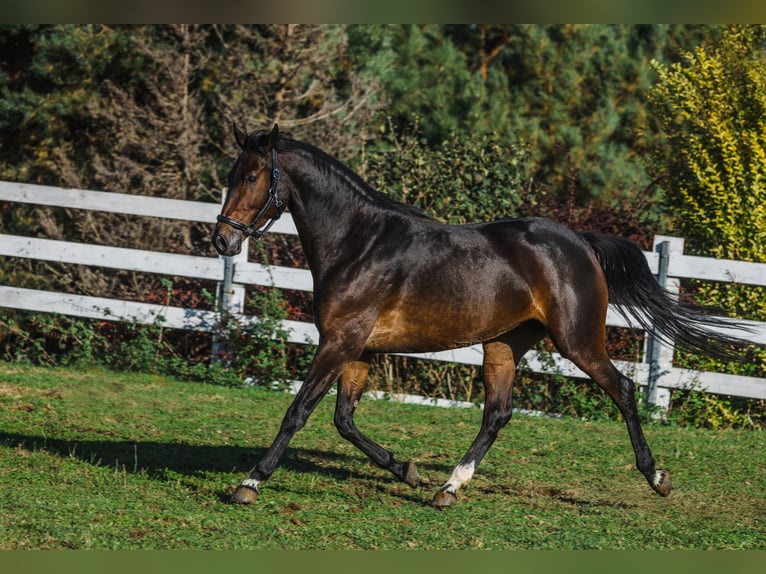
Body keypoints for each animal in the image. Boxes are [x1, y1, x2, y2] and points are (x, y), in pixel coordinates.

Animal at [212, 122, 752, 508]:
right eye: (231, 175)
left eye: (252, 176)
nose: (222, 240)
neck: (358, 244)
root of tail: (579, 243)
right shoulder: (359, 348)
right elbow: (344, 420)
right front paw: (406, 469)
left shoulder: (340, 342)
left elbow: (298, 411)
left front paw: (249, 483)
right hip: (505, 343)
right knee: (497, 413)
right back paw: (448, 487)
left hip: (577, 340)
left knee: (620, 389)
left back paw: (656, 477)